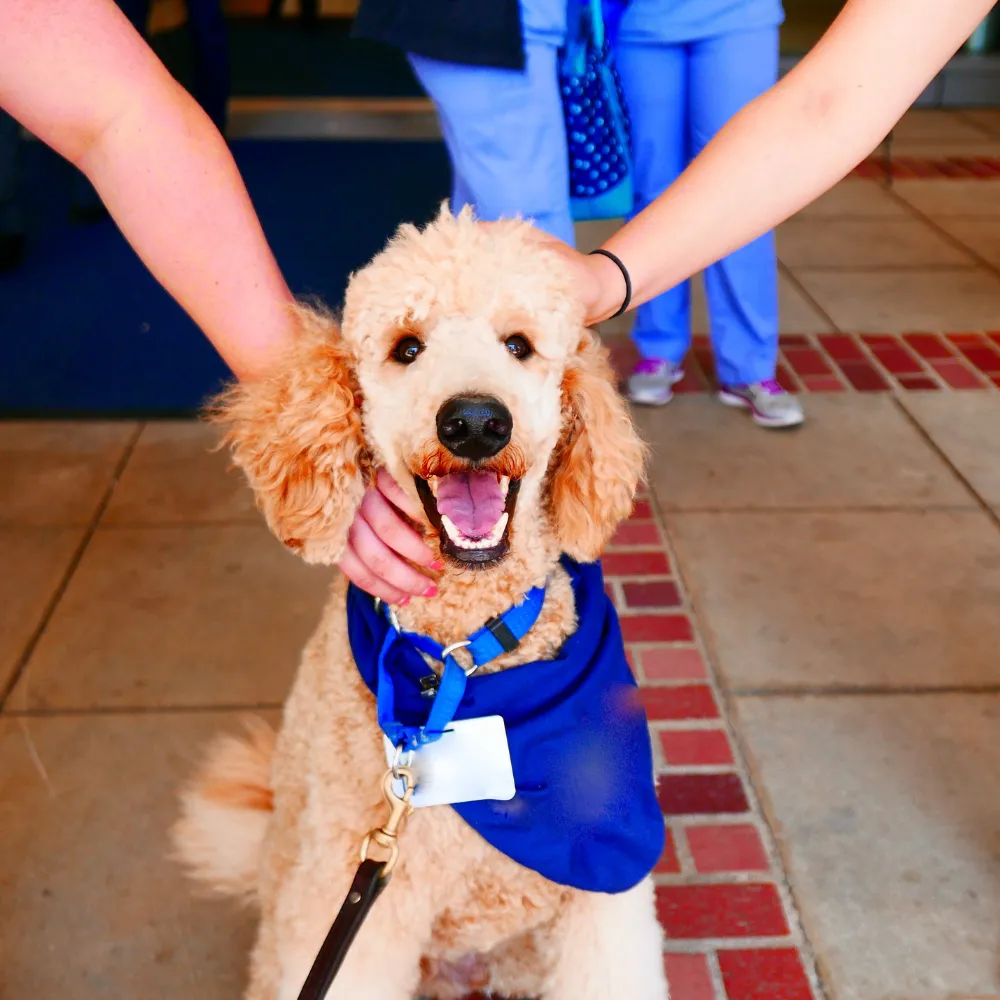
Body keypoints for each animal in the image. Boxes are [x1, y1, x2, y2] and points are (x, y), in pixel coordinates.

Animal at [174, 207, 672, 1000]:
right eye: (407, 348)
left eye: (519, 345)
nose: (473, 421)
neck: (464, 658)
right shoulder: (360, 903)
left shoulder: (605, 893)